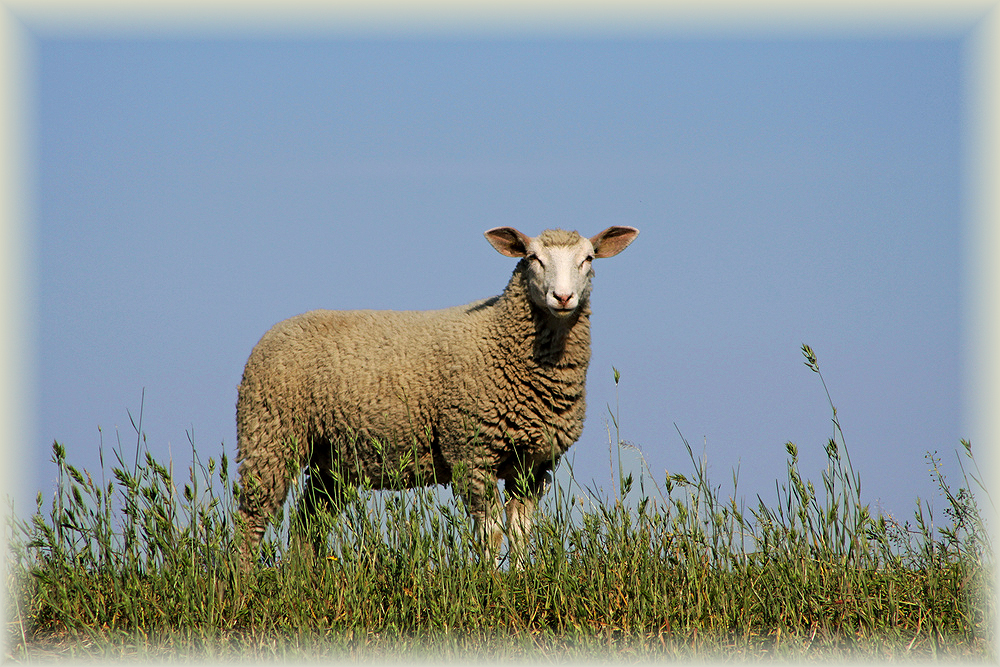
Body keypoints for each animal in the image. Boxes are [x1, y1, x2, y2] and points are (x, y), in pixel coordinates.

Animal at [235, 226, 636, 564]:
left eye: (588, 259)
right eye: (533, 257)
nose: (563, 297)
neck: (500, 337)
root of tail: (276, 330)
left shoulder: (534, 463)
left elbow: (520, 531)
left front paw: (523, 577)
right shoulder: (471, 451)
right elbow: (490, 532)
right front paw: (490, 582)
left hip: (330, 458)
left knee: (308, 522)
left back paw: (303, 577)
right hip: (268, 433)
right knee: (252, 517)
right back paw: (243, 583)